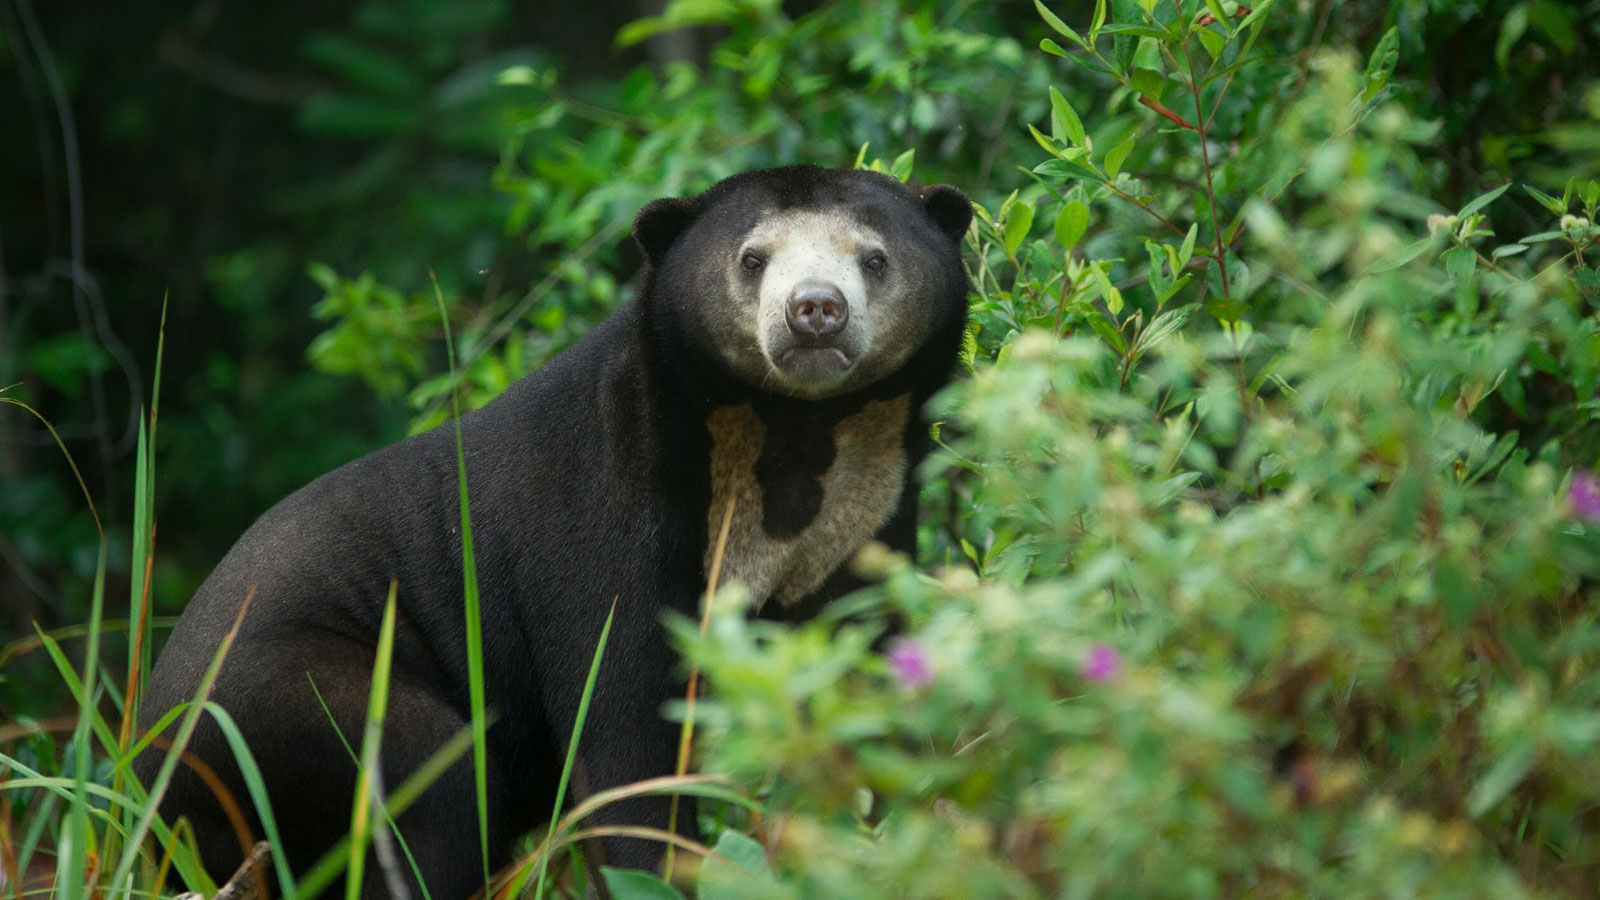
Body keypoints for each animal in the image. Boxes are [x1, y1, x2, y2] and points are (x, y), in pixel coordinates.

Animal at [134, 164, 972, 890]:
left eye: (874, 258)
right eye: (752, 258)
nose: (815, 311)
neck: (788, 439)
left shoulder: (859, 529)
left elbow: (867, 689)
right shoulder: (602, 531)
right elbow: (623, 737)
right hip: (286, 702)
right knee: (430, 786)